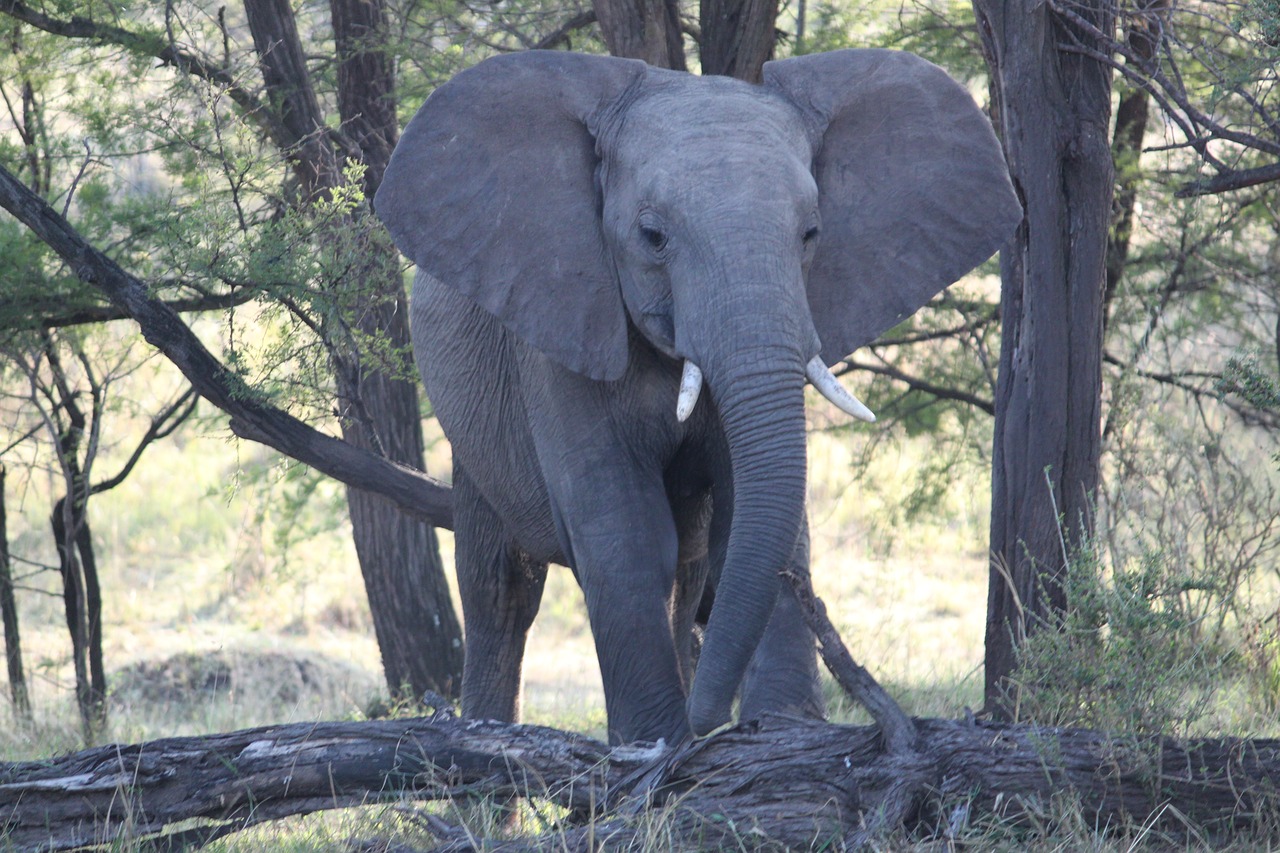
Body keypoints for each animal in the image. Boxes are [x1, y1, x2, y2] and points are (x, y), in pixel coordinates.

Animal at [375, 48, 1020, 745]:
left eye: (811, 234)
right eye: (652, 236)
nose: (707, 725)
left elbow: (751, 522)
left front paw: (781, 728)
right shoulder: (561, 325)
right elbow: (624, 534)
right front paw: (657, 744)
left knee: (685, 576)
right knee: (502, 589)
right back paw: (488, 746)